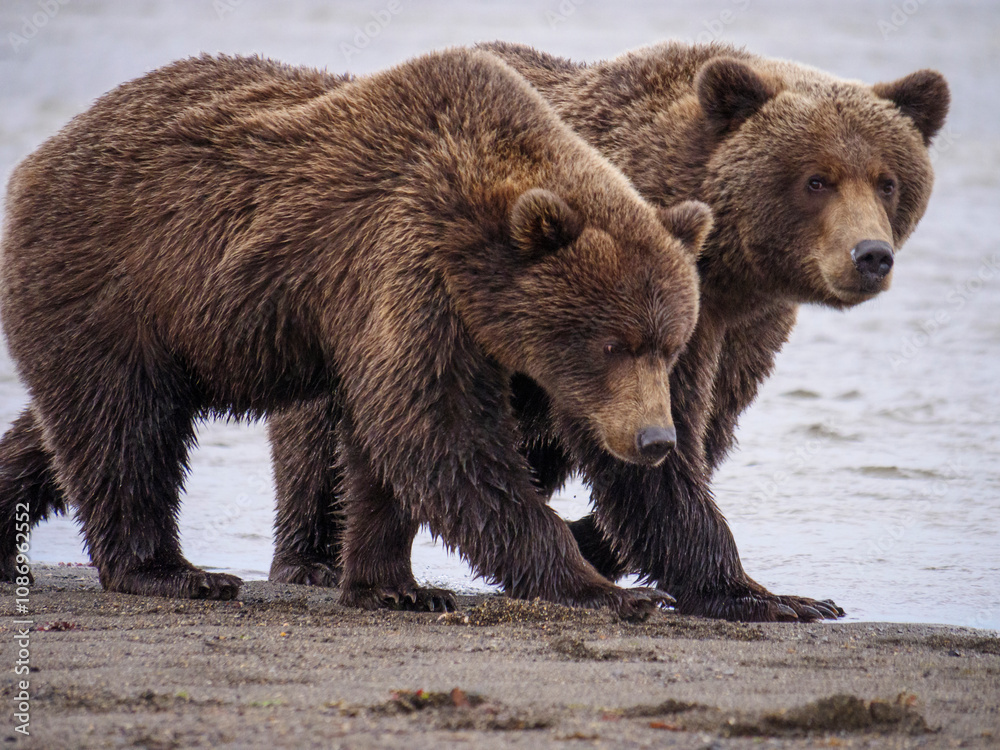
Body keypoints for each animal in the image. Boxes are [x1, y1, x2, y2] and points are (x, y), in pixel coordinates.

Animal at [0, 49, 713, 616]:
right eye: (612, 344)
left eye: (669, 345)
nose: (655, 438)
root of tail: (46, 151)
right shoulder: (406, 273)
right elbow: (440, 436)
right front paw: (611, 590)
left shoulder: (495, 352)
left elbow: (385, 450)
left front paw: (394, 584)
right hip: (114, 286)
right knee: (124, 430)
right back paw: (173, 573)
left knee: (74, 429)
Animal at [264, 41, 949, 621]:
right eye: (816, 179)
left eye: (888, 180)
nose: (871, 255)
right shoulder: (613, 315)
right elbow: (649, 451)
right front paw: (766, 595)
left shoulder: (736, 329)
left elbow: (691, 435)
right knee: (322, 435)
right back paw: (311, 558)